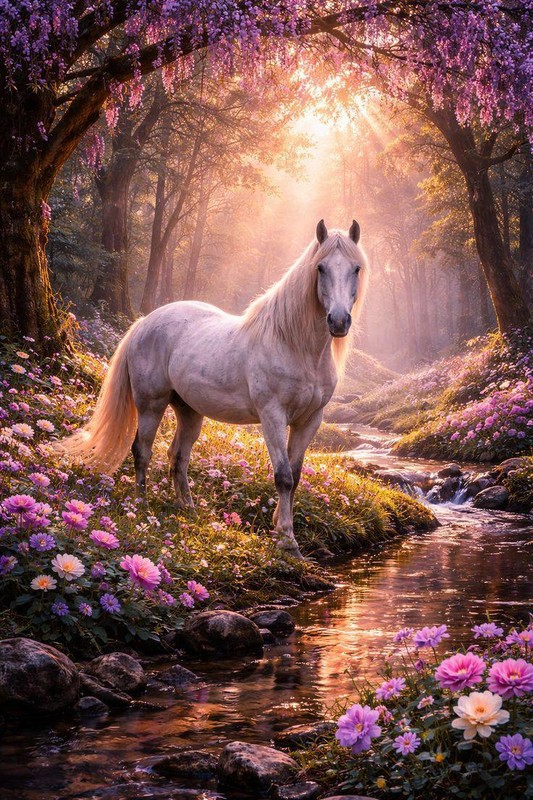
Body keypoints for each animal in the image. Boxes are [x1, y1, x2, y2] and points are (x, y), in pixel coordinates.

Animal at [59, 219, 369, 559]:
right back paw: (140, 507)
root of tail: (143, 322)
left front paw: (282, 531)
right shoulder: (273, 416)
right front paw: (287, 540)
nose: (338, 321)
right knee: (142, 451)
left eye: (355, 268)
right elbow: (283, 477)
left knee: (178, 456)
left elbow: (296, 476)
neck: (294, 345)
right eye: (320, 268)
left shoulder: (309, 420)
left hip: (189, 411)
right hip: (151, 405)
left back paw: (189, 509)